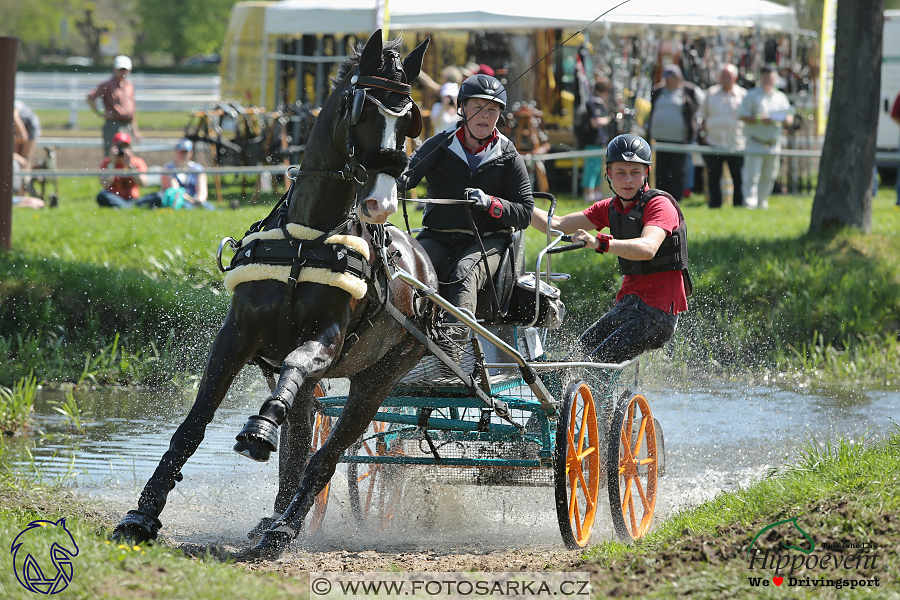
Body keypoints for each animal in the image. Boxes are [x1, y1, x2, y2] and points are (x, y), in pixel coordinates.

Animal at [113, 31, 440, 556]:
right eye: (362, 109)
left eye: (410, 117)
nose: (381, 203)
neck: (307, 239)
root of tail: (426, 269)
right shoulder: (235, 335)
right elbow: (192, 426)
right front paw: (142, 515)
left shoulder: (325, 339)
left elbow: (295, 373)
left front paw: (260, 427)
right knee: (301, 438)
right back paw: (275, 517)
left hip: (381, 377)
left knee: (329, 452)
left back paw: (286, 526)